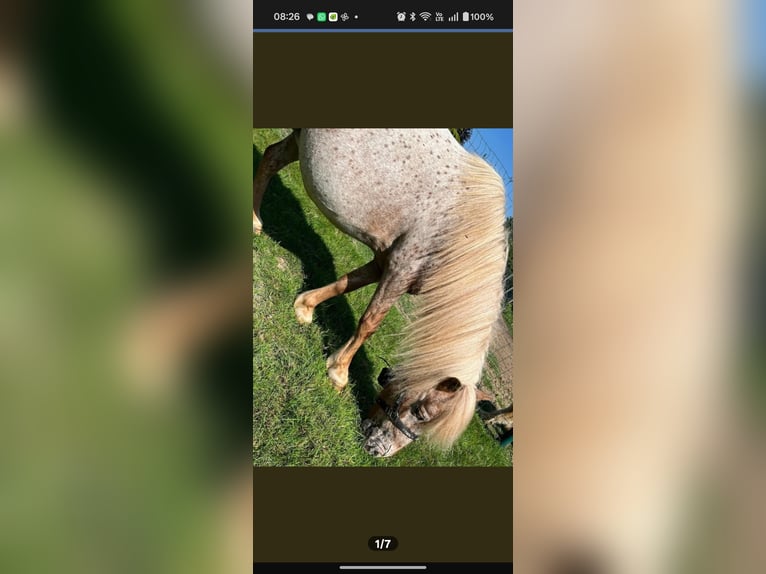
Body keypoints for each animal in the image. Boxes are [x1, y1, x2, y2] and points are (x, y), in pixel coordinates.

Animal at [253, 129, 508, 457]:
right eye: (421, 413)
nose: (378, 450)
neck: (456, 230)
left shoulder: (385, 263)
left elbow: (345, 283)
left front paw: (305, 307)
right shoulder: (399, 269)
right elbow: (369, 323)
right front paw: (338, 373)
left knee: (273, 156)